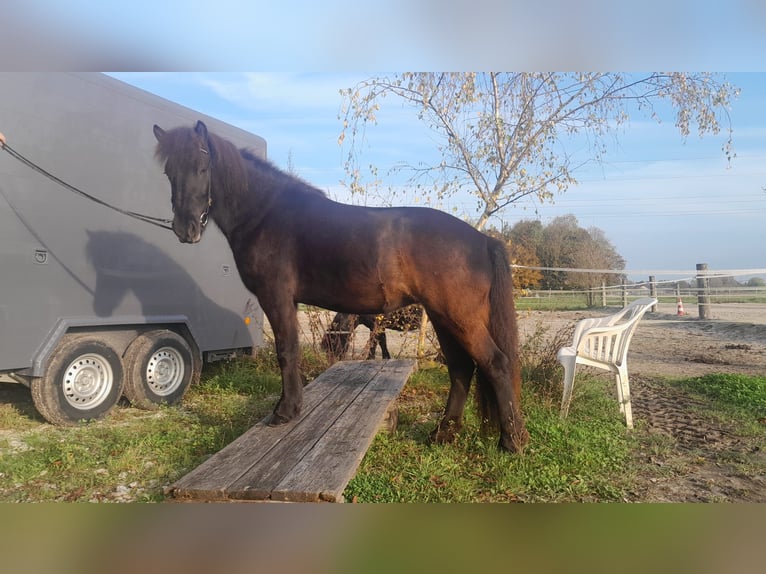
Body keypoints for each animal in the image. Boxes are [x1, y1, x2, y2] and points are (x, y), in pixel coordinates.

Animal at [154, 120, 532, 454]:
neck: (266, 214)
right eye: (169, 172)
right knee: (461, 369)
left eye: (203, 166)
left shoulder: (276, 297)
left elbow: (286, 351)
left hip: (458, 317)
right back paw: (442, 434)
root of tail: (482, 240)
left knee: (495, 363)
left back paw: (510, 442)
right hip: (443, 318)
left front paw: (285, 412)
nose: (185, 229)